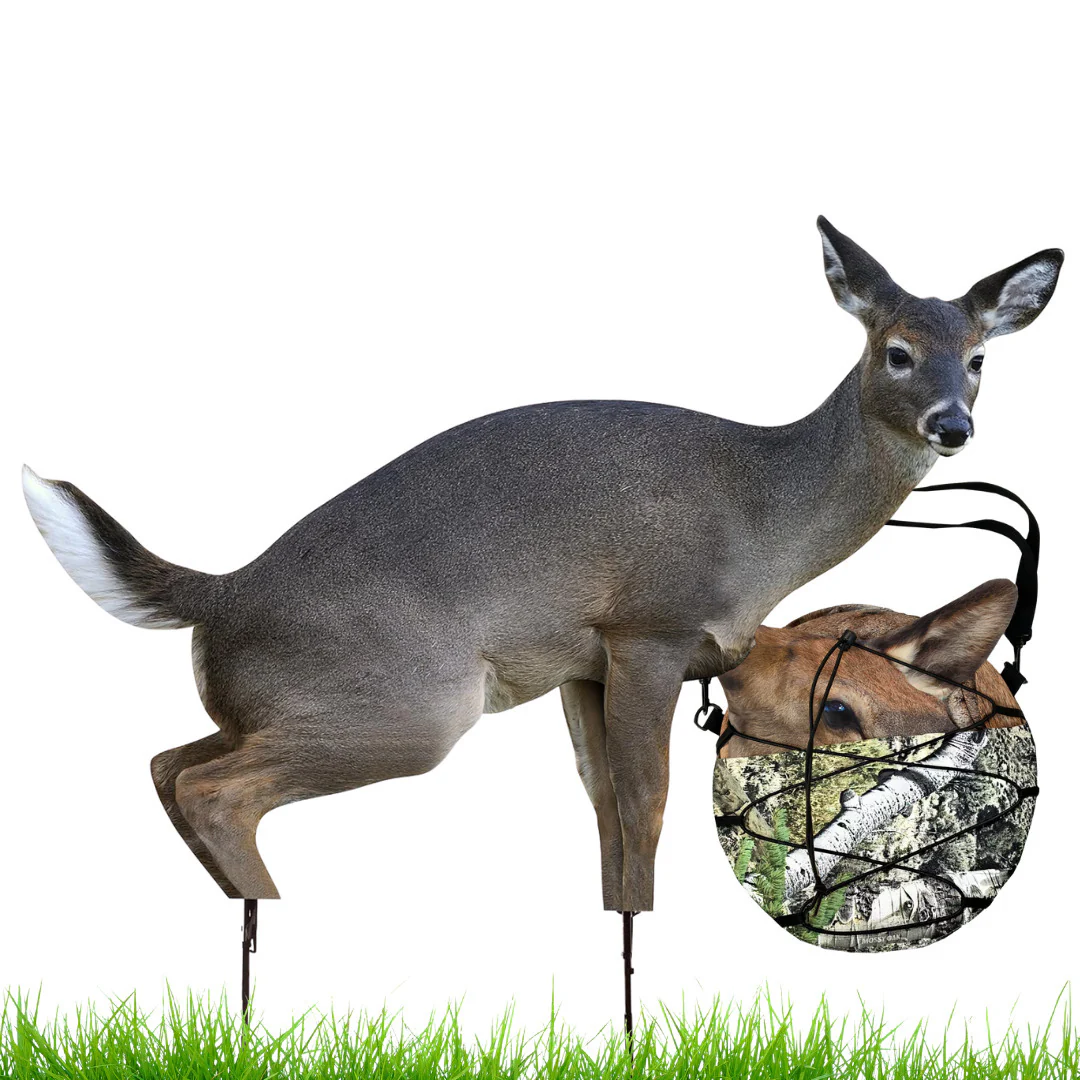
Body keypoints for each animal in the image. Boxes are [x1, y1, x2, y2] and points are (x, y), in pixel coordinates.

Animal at [22, 218, 1061, 1001]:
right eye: (897, 351)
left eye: (978, 359)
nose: (953, 424)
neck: (764, 515)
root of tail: (223, 589)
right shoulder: (647, 628)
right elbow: (646, 800)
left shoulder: (581, 662)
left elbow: (602, 805)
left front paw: (622, 955)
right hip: (411, 704)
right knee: (210, 786)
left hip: (292, 707)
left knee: (168, 763)